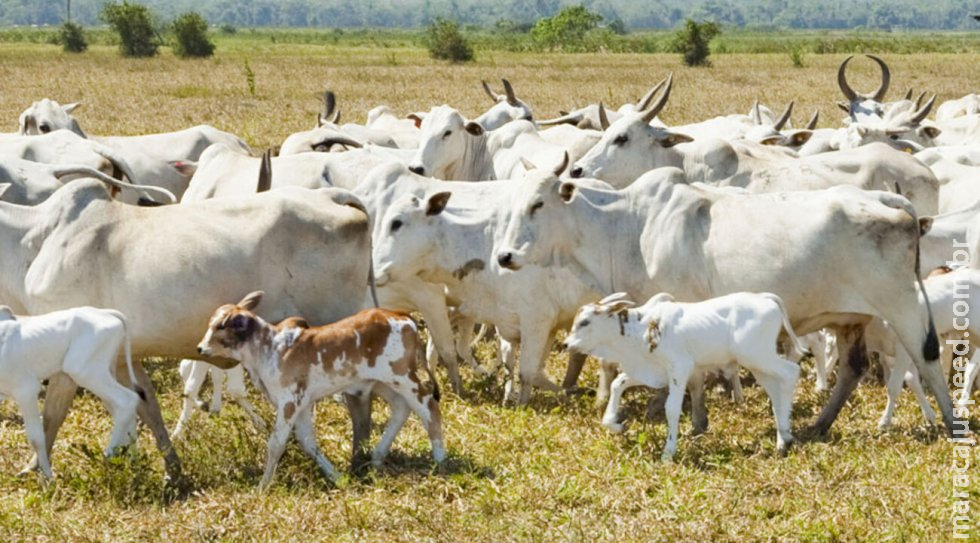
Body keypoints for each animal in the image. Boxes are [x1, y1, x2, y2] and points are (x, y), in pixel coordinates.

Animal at [0, 306, 144, 480]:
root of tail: (106, 313)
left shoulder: (26, 390)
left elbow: (36, 437)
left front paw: (48, 477)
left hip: (83, 371)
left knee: (127, 400)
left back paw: (108, 455)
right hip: (103, 372)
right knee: (123, 408)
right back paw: (132, 459)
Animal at [197, 292, 446, 490]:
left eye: (220, 326)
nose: (200, 348)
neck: (269, 349)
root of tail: (401, 316)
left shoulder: (290, 401)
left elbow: (276, 443)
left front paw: (262, 486)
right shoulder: (304, 404)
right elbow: (308, 442)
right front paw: (337, 477)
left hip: (403, 378)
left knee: (429, 407)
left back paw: (440, 459)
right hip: (382, 383)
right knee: (402, 408)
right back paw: (377, 457)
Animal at [494, 168, 952, 436]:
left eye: (538, 204)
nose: (504, 256)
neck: (629, 225)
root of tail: (888, 200)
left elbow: (689, 374)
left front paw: (686, 418)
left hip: (901, 305)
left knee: (928, 358)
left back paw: (951, 423)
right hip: (851, 319)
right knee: (853, 368)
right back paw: (818, 425)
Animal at [568, 292, 804, 462]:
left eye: (585, 322)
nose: (566, 344)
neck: (643, 328)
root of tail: (765, 298)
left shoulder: (679, 369)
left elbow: (672, 409)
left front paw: (668, 452)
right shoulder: (650, 371)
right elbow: (617, 384)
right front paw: (615, 425)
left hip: (757, 356)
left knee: (790, 373)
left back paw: (784, 439)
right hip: (759, 364)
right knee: (775, 390)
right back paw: (784, 436)